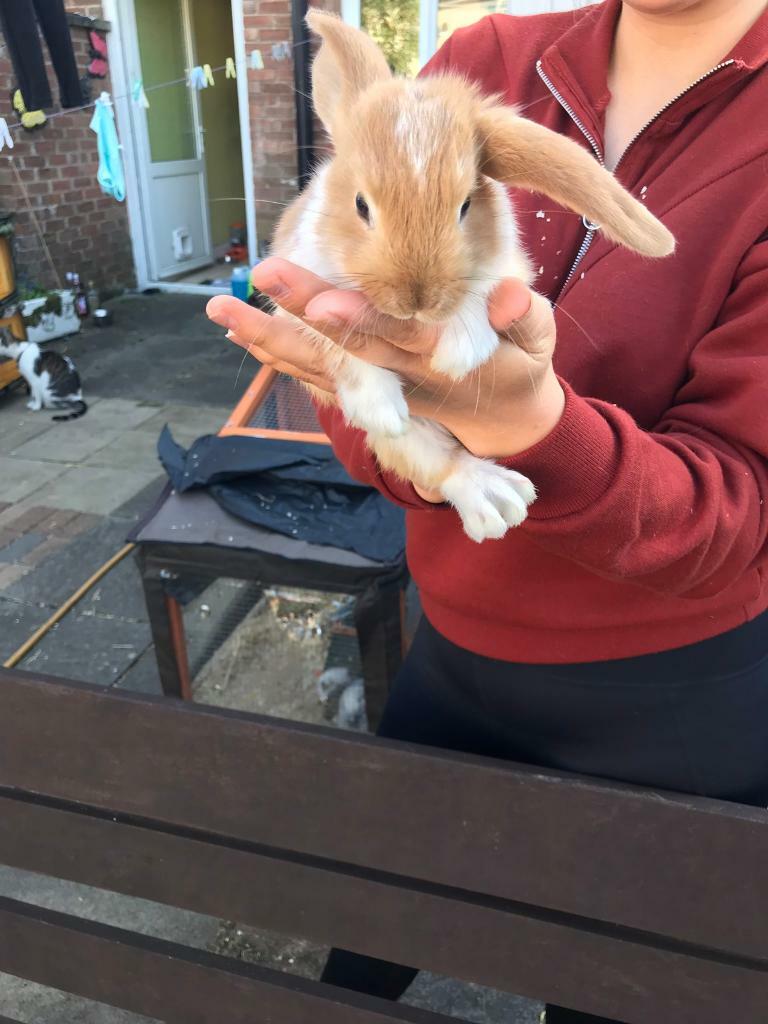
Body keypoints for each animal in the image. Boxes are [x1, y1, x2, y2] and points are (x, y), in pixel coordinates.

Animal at [269, 10, 675, 543]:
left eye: (465, 205)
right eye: (360, 204)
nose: (416, 299)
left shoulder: (506, 275)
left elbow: (479, 298)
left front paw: (459, 355)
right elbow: (340, 351)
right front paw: (379, 406)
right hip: (409, 445)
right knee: (441, 465)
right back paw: (492, 498)